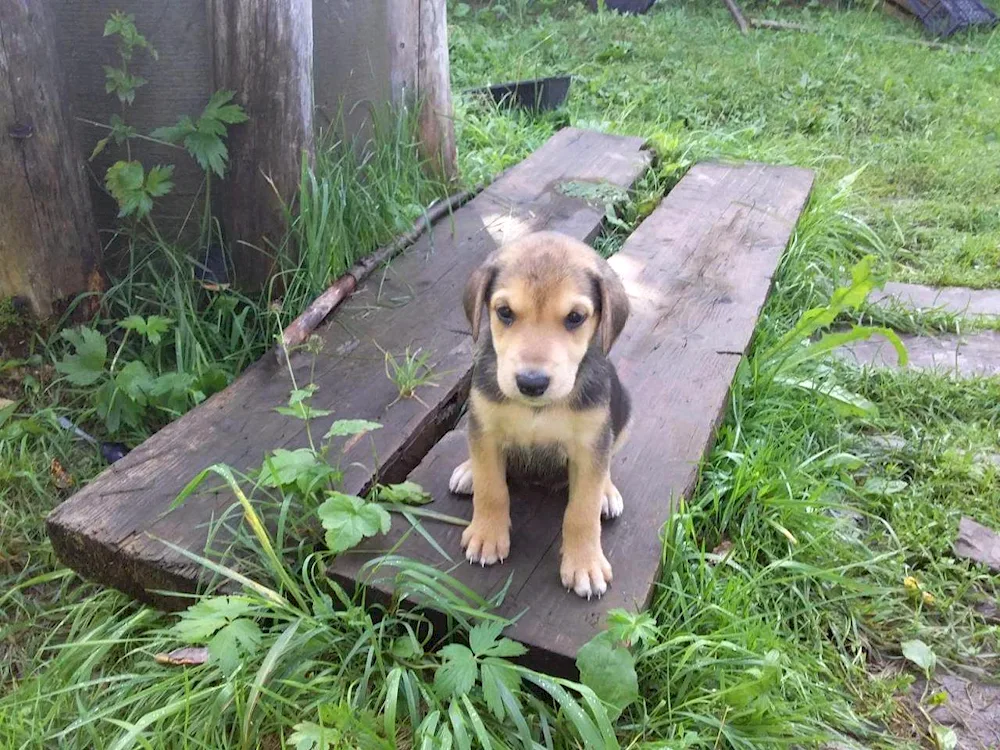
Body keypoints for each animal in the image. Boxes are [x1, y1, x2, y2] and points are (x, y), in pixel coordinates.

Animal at [450, 232, 628, 604]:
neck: (537, 408)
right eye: (504, 312)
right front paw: (487, 535)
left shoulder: (591, 444)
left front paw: (585, 564)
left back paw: (606, 492)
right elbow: (491, 489)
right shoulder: (485, 427)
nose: (531, 383)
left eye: (575, 317)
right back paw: (468, 470)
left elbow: (582, 512)